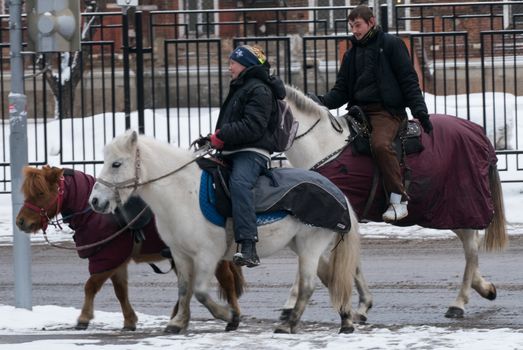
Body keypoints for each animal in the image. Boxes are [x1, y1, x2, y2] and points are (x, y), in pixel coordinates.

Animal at [15, 166, 246, 330]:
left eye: (41, 193)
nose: (20, 222)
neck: (96, 213)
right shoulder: (116, 262)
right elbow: (120, 291)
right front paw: (129, 320)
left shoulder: (107, 258)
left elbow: (90, 286)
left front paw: (84, 318)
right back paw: (178, 316)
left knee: (226, 279)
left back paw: (232, 316)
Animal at [88, 129, 362, 334]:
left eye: (116, 164)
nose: (95, 201)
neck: (181, 192)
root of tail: (336, 192)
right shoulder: (180, 254)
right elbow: (184, 289)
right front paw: (178, 322)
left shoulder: (207, 255)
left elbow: (199, 291)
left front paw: (229, 315)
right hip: (298, 244)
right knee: (330, 277)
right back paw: (345, 319)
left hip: (309, 245)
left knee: (308, 285)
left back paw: (289, 324)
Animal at [282, 85, 508, 320]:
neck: (324, 147)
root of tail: (478, 132)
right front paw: (362, 304)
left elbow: (313, 260)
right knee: (471, 244)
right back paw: (483, 287)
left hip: (460, 205)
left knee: (471, 248)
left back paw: (459, 302)